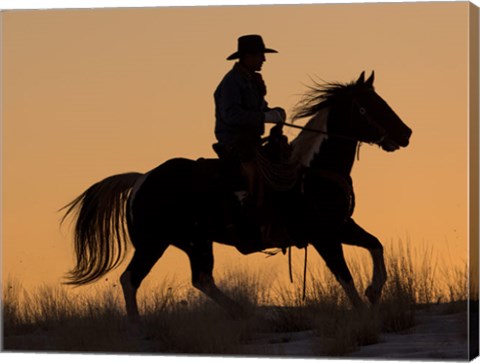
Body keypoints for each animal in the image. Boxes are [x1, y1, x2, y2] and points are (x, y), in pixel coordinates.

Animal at [61, 71, 412, 322]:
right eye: (369, 107)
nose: (406, 133)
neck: (311, 171)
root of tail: (141, 180)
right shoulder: (323, 236)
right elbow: (344, 275)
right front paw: (363, 311)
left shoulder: (341, 226)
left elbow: (375, 245)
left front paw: (374, 291)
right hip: (154, 243)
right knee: (131, 279)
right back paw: (138, 327)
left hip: (195, 242)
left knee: (201, 278)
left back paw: (242, 313)